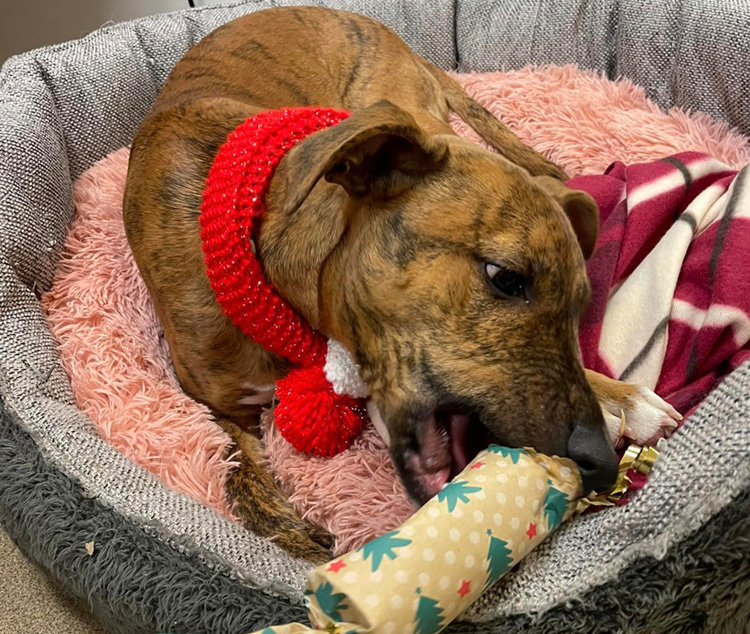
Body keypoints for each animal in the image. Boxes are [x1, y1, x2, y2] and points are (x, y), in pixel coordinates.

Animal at [123, 4, 680, 556]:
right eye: (505, 277)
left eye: (580, 307)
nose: (601, 464)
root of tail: (397, 40)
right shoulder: (212, 403)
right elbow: (234, 465)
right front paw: (287, 526)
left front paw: (621, 397)